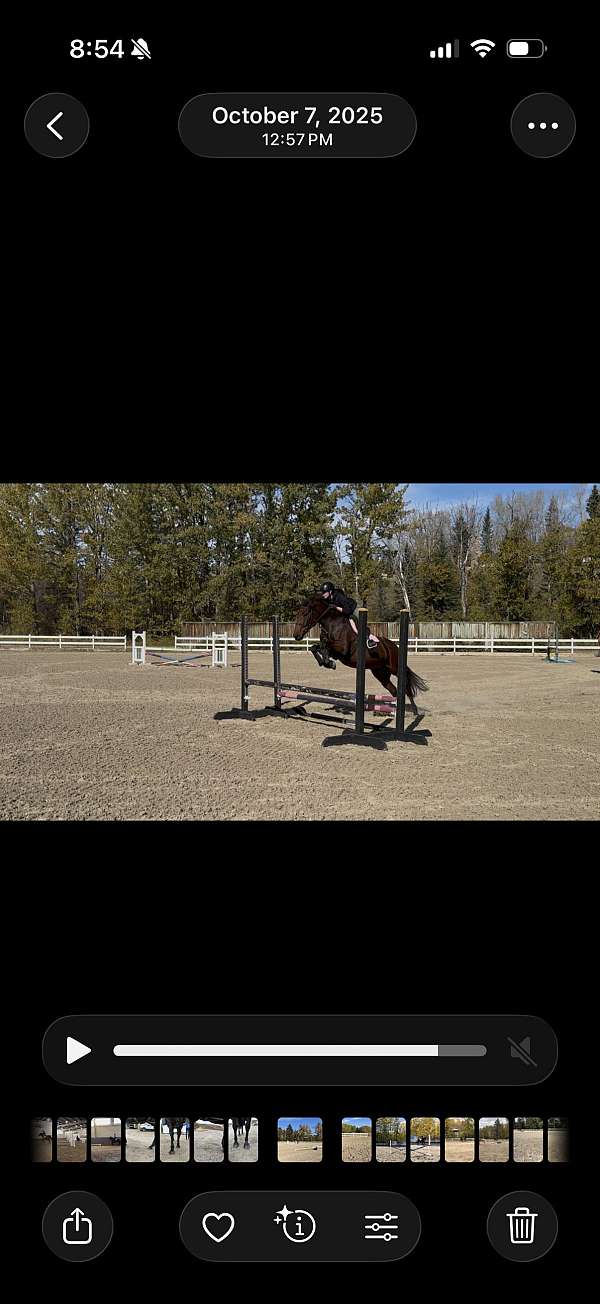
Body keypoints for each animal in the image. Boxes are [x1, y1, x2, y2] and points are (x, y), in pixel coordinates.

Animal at [294, 594, 428, 714]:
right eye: (297, 614)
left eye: (305, 614)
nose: (296, 636)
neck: (331, 623)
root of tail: (394, 646)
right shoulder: (334, 650)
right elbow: (316, 647)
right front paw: (326, 662)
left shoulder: (343, 649)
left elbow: (325, 647)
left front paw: (328, 662)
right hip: (380, 673)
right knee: (394, 690)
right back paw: (389, 711)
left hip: (395, 668)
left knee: (405, 686)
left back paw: (415, 710)